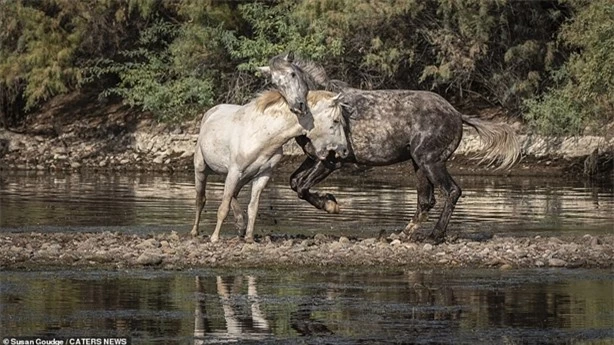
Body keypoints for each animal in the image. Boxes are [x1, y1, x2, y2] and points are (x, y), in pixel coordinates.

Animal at [191, 90, 352, 242]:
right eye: (336, 121)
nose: (344, 150)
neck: (263, 134)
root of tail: (211, 112)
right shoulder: (234, 172)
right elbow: (223, 207)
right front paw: (215, 238)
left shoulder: (263, 175)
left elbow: (252, 208)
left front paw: (249, 238)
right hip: (202, 169)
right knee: (201, 200)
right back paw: (195, 232)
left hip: (245, 177)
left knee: (234, 195)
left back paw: (240, 226)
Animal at [276, 60, 524, 243]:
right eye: (275, 83)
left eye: (293, 79)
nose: (296, 107)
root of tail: (457, 113)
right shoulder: (312, 159)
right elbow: (294, 182)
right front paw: (330, 202)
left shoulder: (330, 162)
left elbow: (302, 187)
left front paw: (331, 205)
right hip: (419, 164)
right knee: (426, 201)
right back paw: (403, 234)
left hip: (430, 162)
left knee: (451, 191)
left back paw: (434, 235)